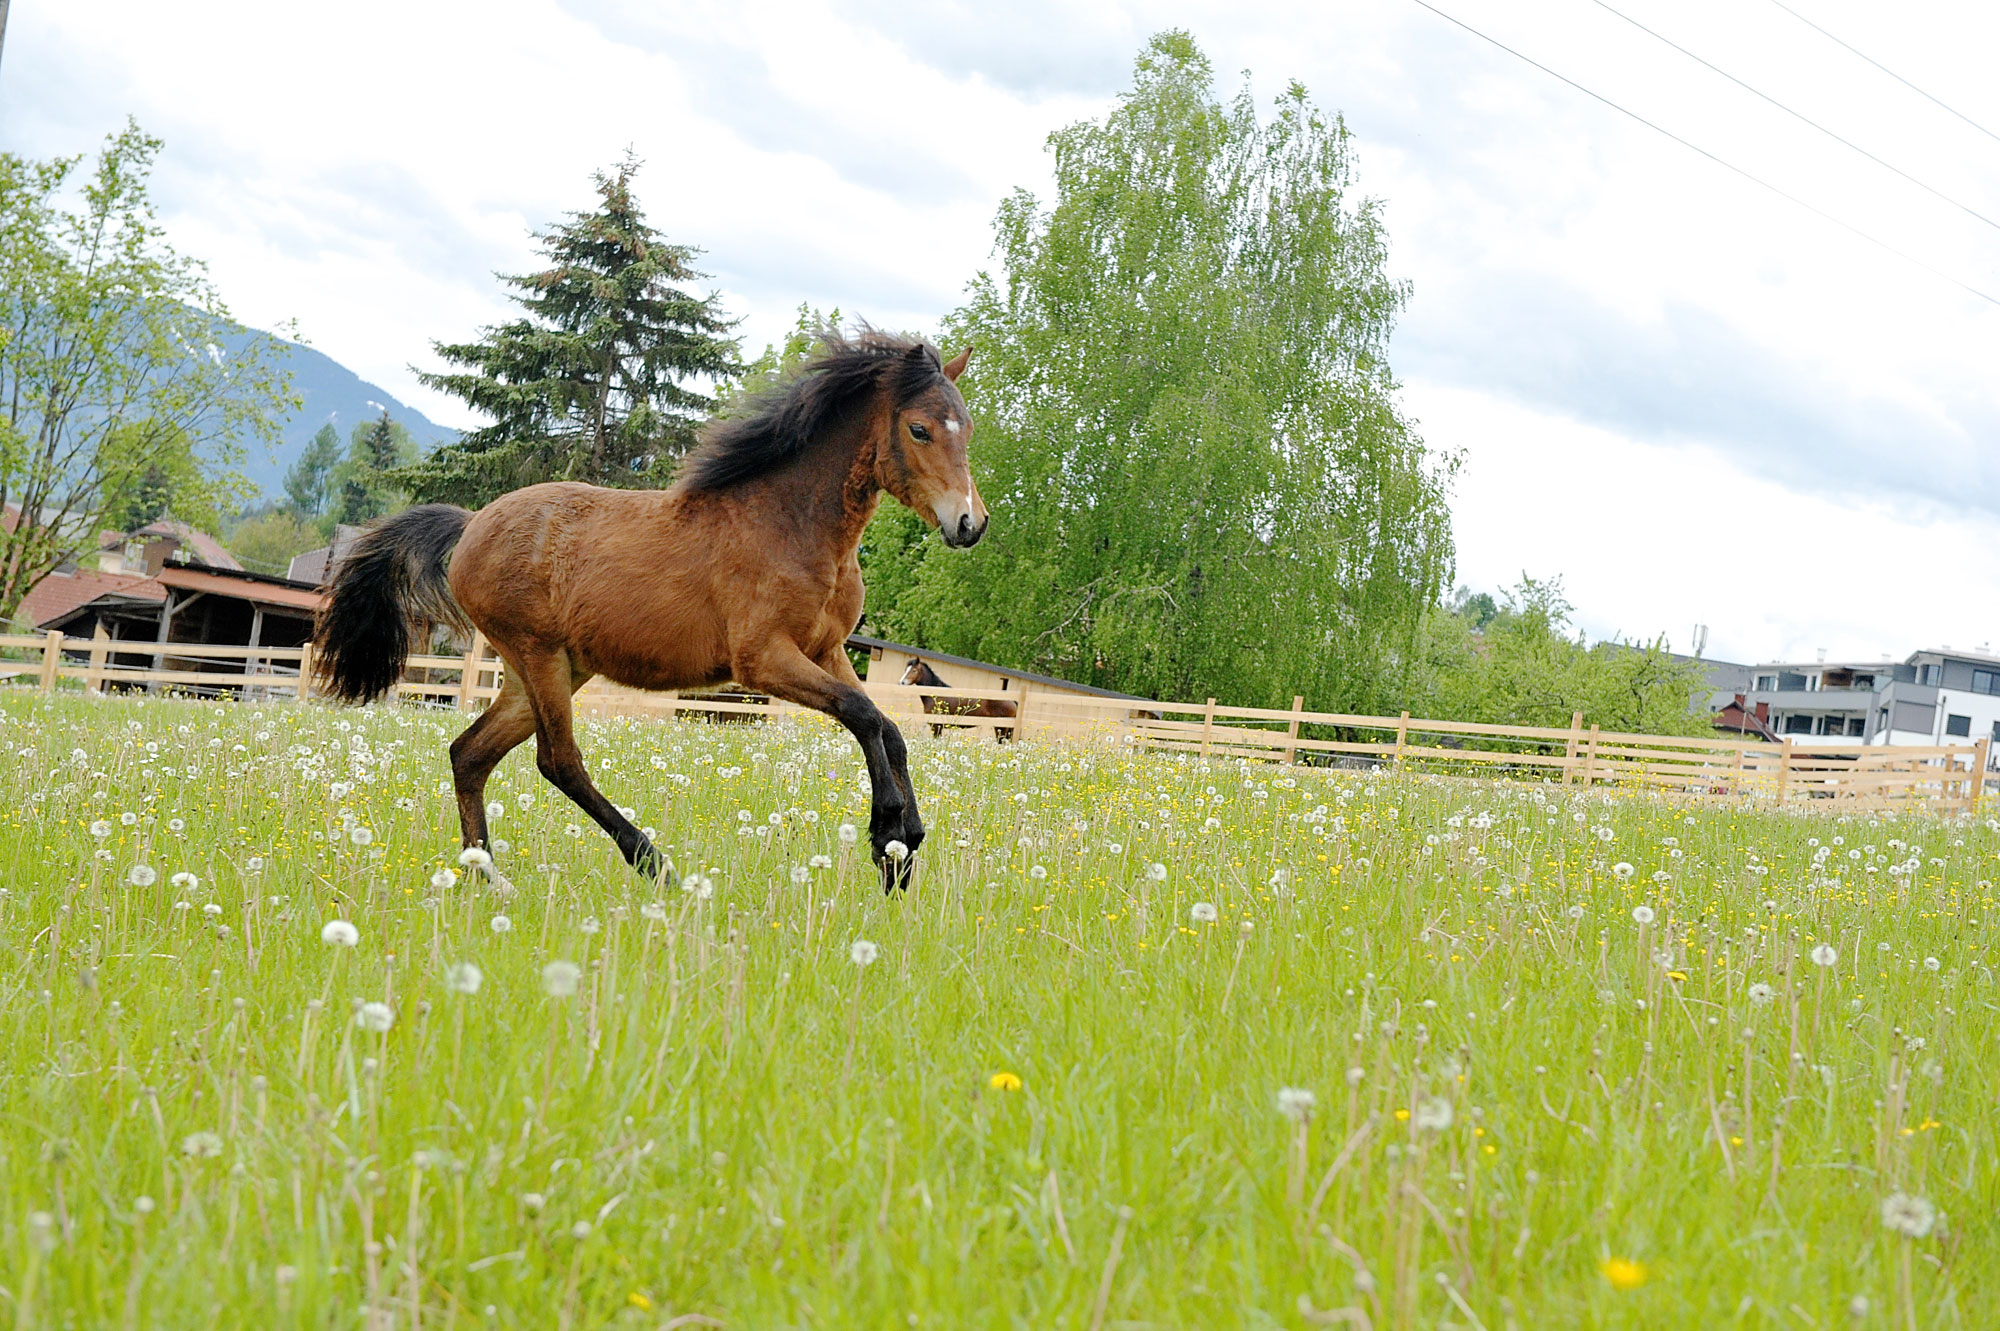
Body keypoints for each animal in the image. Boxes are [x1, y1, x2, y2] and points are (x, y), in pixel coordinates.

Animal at [310, 329, 984, 891]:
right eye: (920, 430)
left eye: (969, 429)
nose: (969, 524)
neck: (793, 527)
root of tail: (472, 523)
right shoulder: (763, 660)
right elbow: (866, 717)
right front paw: (888, 833)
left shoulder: (827, 651)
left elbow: (888, 728)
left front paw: (904, 846)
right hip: (538, 656)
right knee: (558, 762)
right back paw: (650, 861)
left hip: (551, 670)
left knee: (470, 754)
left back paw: (487, 877)